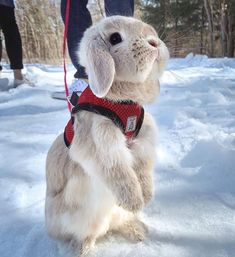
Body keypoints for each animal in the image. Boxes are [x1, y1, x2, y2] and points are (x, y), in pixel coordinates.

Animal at [45, 15, 169, 255]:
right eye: (115, 38)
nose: (154, 43)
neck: (120, 100)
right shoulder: (100, 141)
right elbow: (118, 171)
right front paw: (135, 201)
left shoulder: (142, 142)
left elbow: (142, 169)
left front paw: (146, 196)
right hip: (81, 215)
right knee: (86, 233)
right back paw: (82, 248)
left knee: (118, 224)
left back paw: (137, 231)